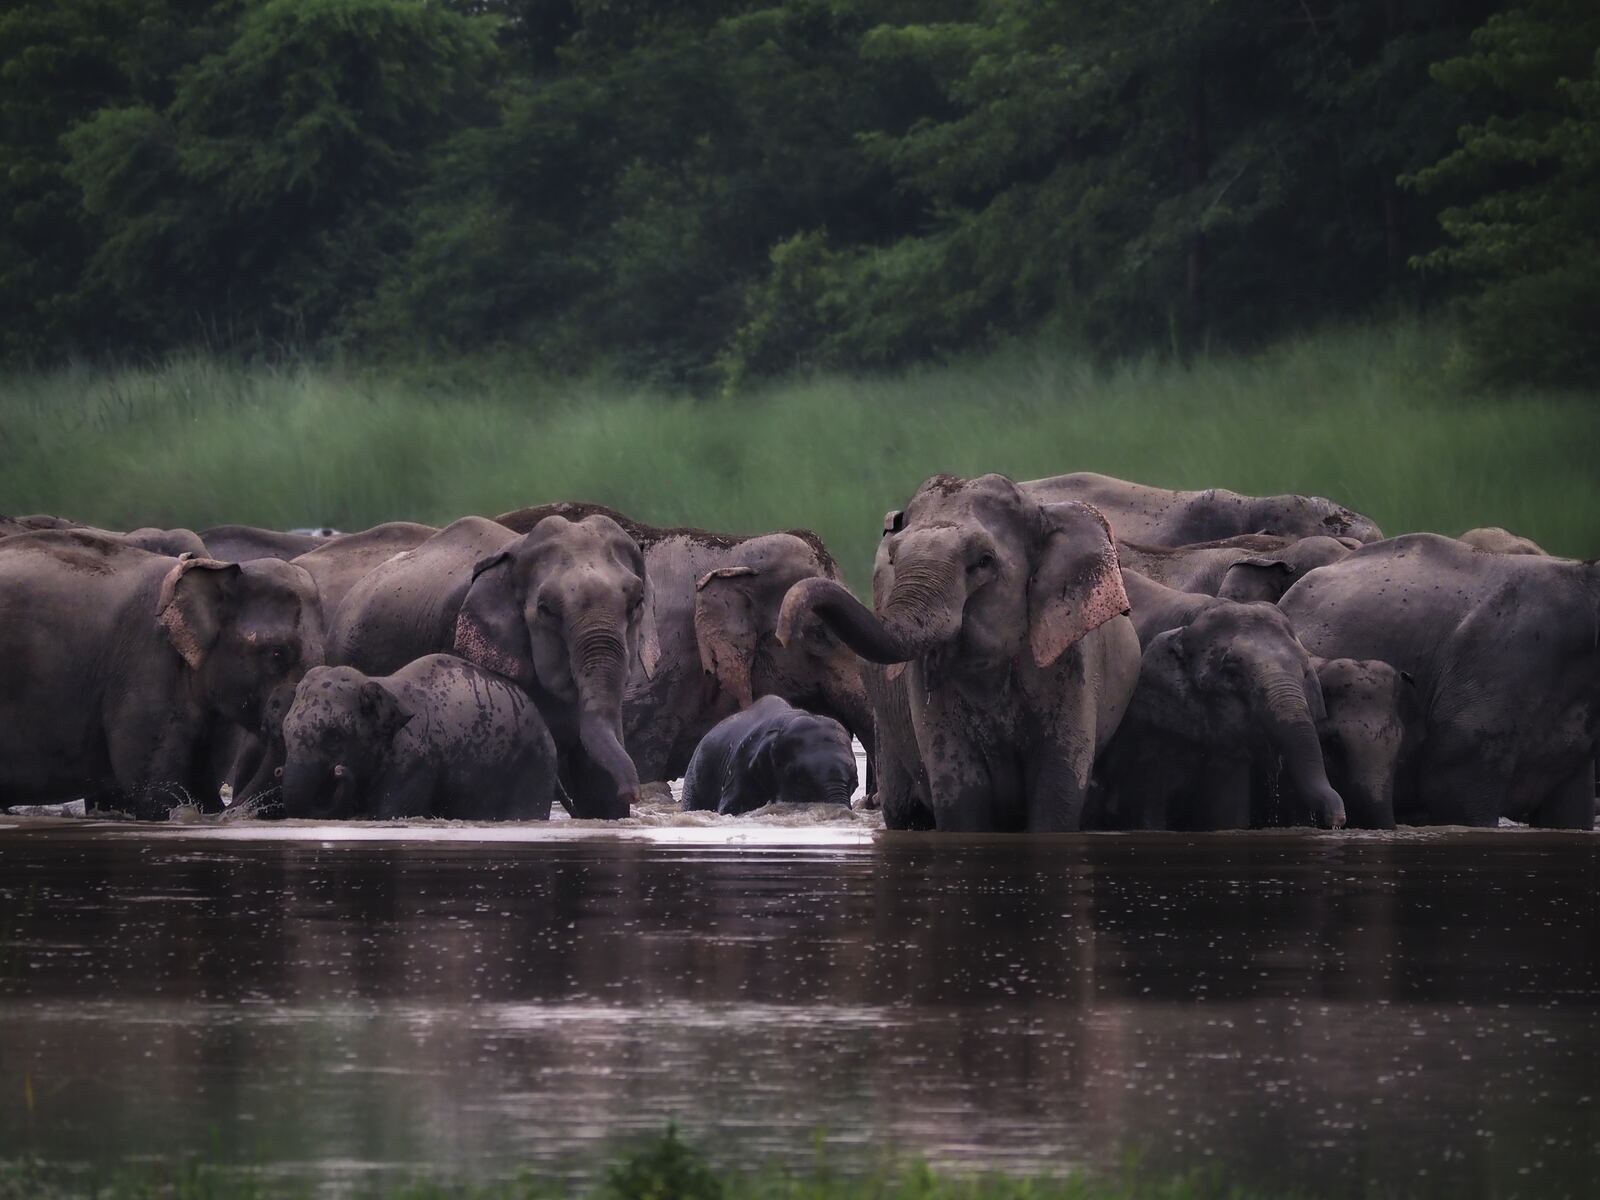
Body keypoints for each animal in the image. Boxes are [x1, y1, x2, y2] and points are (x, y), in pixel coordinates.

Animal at [0, 530, 324, 818]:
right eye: (277, 653)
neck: (217, 568)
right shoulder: (145, 664)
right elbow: (156, 791)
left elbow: (202, 782)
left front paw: (206, 808)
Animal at [277, 655, 561, 821]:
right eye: (284, 731)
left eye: (334, 735)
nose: (338, 770)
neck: (379, 683)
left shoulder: (416, 762)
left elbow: (390, 814)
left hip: (535, 764)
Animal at [775, 473, 1140, 832]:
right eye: (893, 559)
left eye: (984, 561)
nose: (783, 633)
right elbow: (961, 795)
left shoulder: (1075, 666)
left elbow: (1057, 793)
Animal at [1090, 596, 1346, 831]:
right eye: (1232, 673)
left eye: (1305, 673)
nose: (1338, 820)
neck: (1193, 618)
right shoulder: (1148, 721)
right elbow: (1145, 805)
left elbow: (1228, 812)